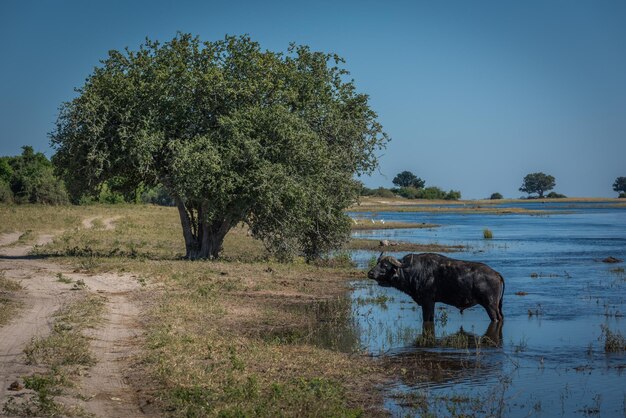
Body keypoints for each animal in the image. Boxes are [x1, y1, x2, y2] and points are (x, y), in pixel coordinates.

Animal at [366, 253, 502, 322]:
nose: (370, 273)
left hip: (490, 305)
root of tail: (496, 274)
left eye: (384, 265)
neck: (413, 272)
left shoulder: (428, 302)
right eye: (377, 263)